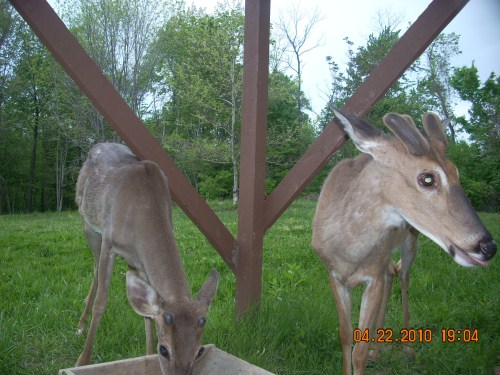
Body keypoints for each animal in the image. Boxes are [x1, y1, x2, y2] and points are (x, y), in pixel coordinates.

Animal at [73, 143, 219, 375]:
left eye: (199, 351)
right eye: (164, 350)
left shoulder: (142, 263)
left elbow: (148, 314)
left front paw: (146, 356)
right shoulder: (109, 244)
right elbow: (101, 302)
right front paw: (81, 361)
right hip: (89, 226)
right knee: (95, 273)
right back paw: (80, 326)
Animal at [312, 110, 496, 375]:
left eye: (456, 172)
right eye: (427, 178)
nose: (487, 246)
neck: (348, 252)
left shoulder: (373, 275)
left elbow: (359, 350)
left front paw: (367, 353)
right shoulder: (334, 274)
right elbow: (345, 336)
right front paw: (365, 350)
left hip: (411, 238)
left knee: (403, 276)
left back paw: (407, 347)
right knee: (392, 271)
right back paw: (378, 349)